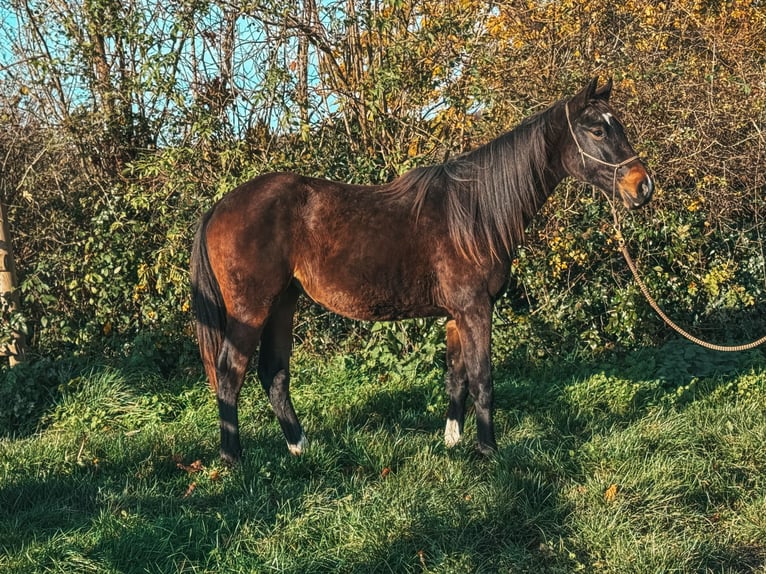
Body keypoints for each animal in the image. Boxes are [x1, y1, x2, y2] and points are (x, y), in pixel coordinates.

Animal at [191, 77, 653, 464]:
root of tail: (219, 207)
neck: (475, 213)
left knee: (274, 373)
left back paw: (300, 446)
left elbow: (457, 378)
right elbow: (483, 379)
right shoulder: (475, 309)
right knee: (230, 373)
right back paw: (234, 459)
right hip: (251, 310)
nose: (642, 186)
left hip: (283, 303)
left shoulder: (455, 315)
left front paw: (453, 440)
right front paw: (489, 451)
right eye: (597, 131)